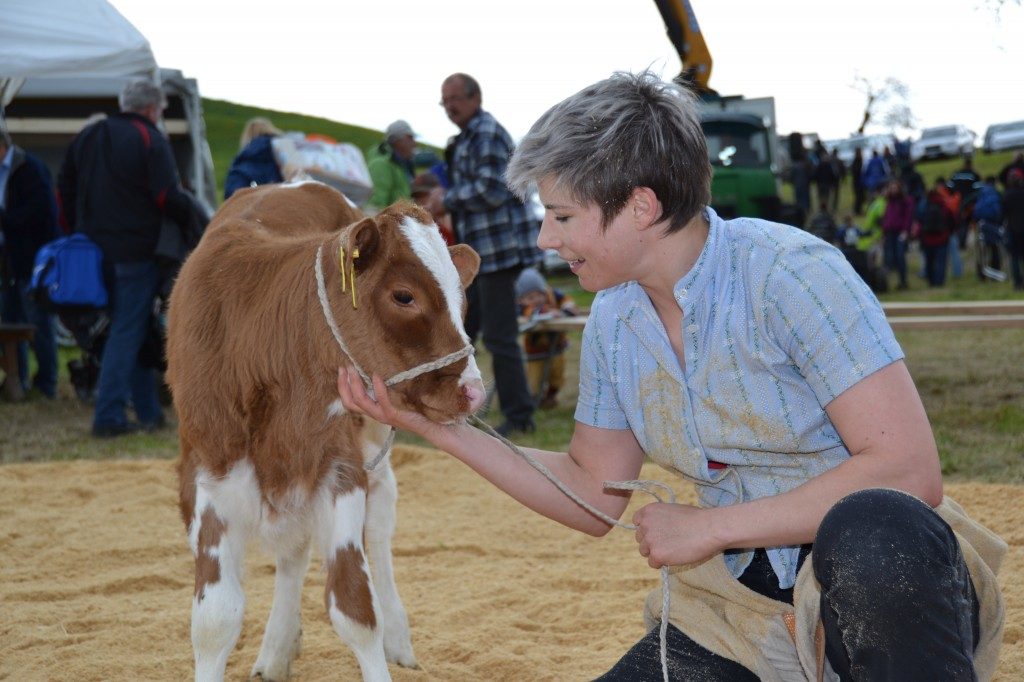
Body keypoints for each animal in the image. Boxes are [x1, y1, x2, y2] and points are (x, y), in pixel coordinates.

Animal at [165, 180, 485, 679]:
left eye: (461, 297)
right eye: (404, 296)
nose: (472, 390)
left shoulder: (339, 468)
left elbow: (356, 608)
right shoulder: (208, 476)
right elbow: (215, 618)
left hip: (372, 436)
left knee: (380, 518)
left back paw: (397, 635)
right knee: (292, 552)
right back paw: (277, 648)